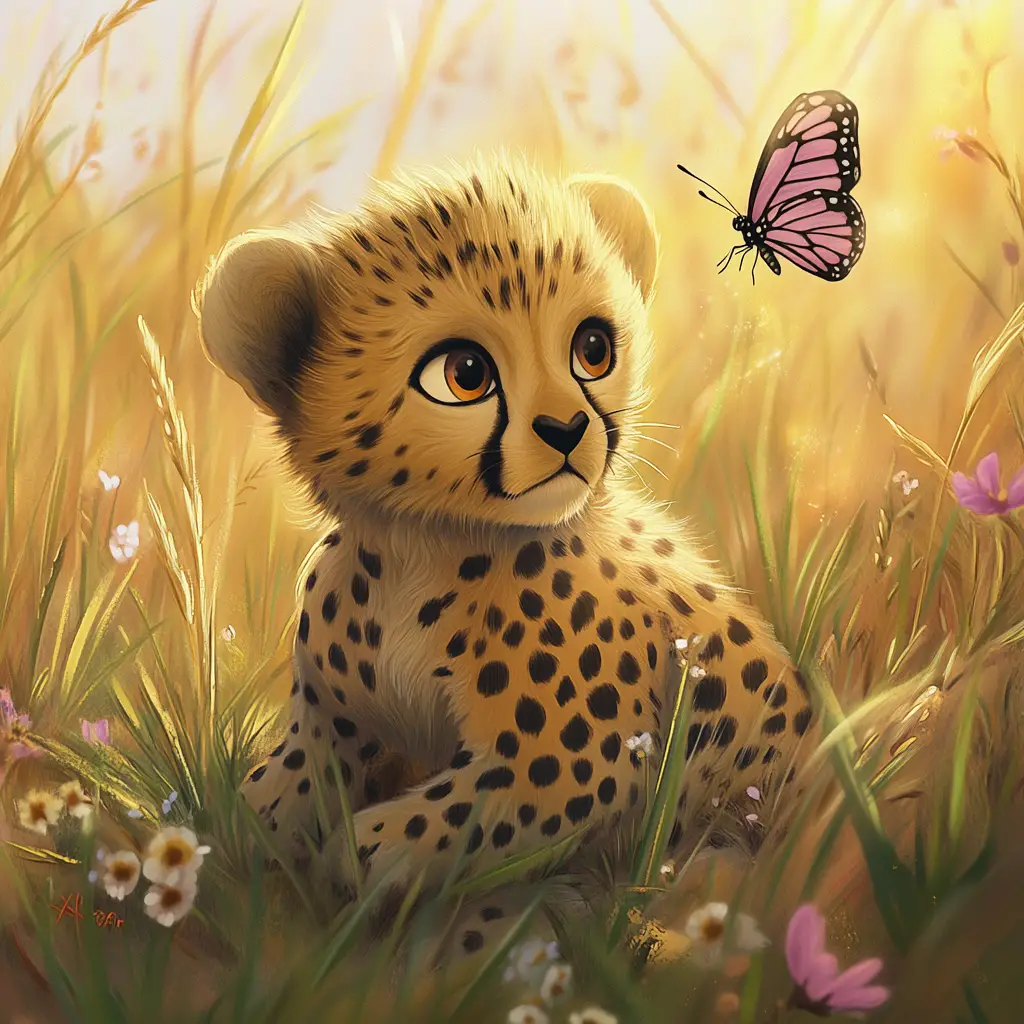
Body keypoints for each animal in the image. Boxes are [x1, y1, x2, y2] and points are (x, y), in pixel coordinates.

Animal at [193, 151, 819, 967]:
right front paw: (244, 848)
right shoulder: (335, 722)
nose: (566, 429)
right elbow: (283, 788)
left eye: (593, 348)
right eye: (464, 372)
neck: (423, 545)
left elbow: (436, 821)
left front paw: (353, 866)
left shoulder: (574, 765)